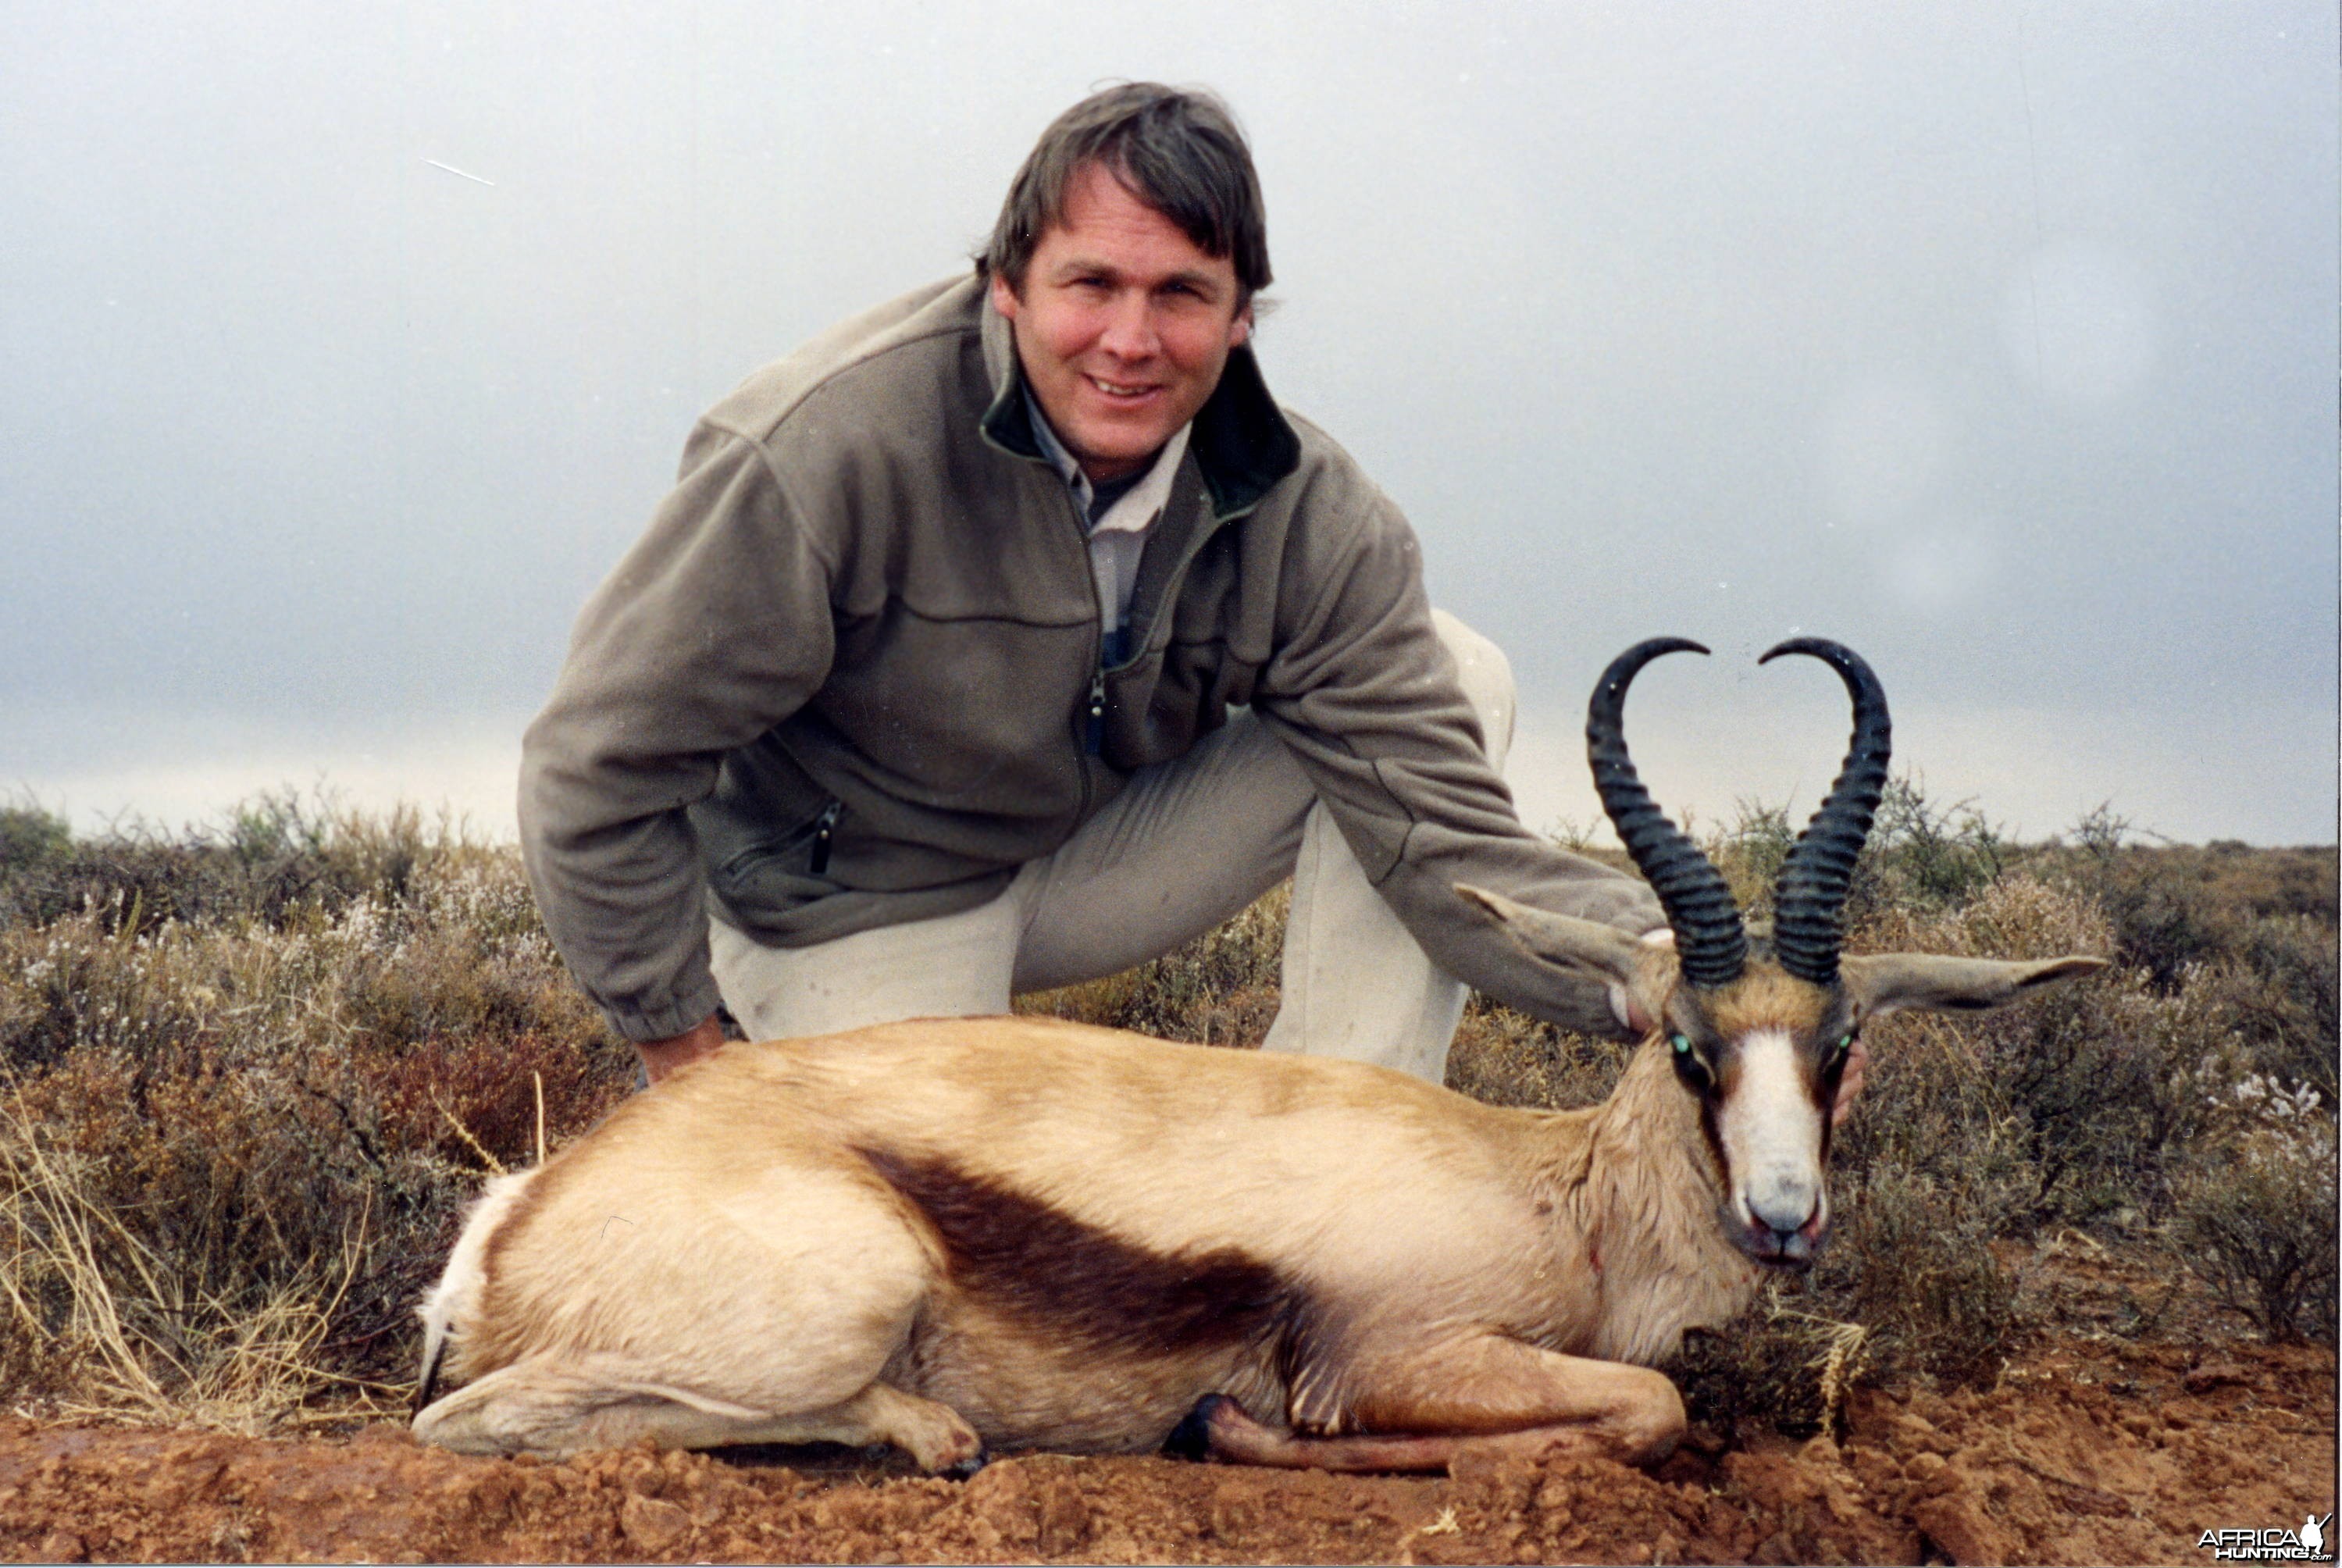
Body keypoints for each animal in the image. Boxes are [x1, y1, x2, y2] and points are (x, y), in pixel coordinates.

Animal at [407, 636, 2108, 1479]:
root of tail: (521, 1213)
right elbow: (1644, 1408)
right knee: (467, 1423)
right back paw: (935, 1434)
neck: (1548, 1194)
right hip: (847, 1296)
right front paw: (1237, 1425)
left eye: (1838, 1046)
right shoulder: (1398, 1351)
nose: (1780, 1215)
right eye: (1685, 1044)